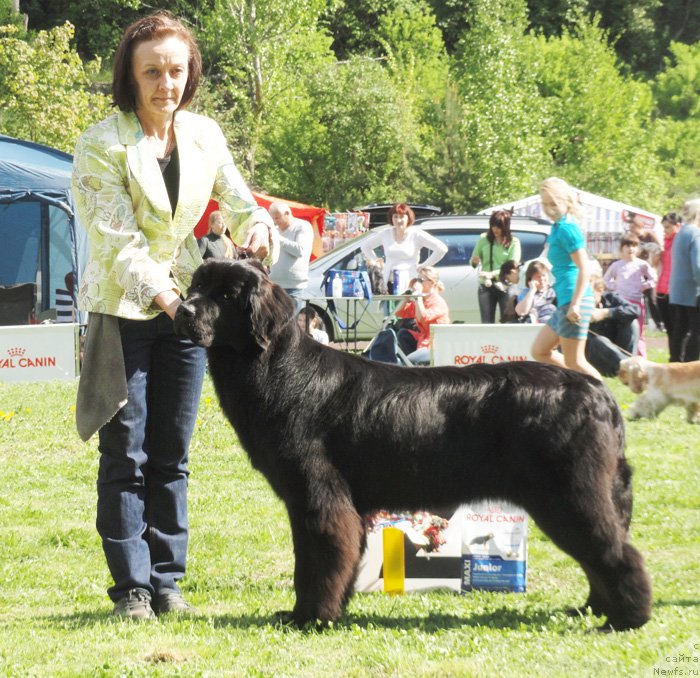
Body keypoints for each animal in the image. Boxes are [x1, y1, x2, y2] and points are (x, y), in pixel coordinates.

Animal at [174, 258, 652, 632]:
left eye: (227, 295)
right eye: (196, 287)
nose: (182, 309)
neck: (277, 370)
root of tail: (598, 392)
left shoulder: (319, 498)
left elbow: (318, 561)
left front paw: (311, 617)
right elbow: (327, 560)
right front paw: (320, 613)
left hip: (569, 494)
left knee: (616, 551)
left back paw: (624, 619)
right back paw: (592, 609)